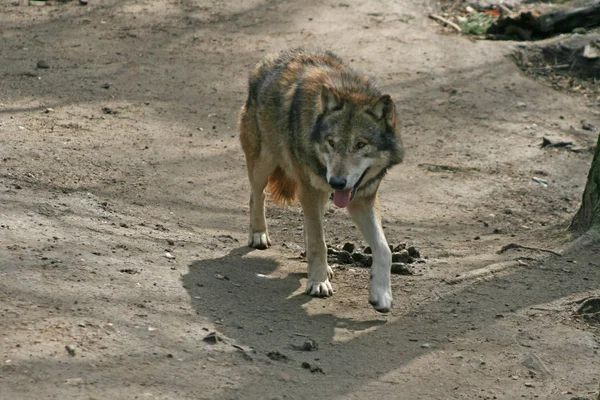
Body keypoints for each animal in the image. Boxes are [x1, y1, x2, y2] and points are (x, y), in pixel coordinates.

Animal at [238, 50, 404, 312]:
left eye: (360, 144)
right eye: (331, 142)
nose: (337, 182)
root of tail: (271, 57)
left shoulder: (361, 199)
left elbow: (383, 248)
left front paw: (382, 295)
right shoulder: (312, 190)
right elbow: (319, 243)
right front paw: (318, 282)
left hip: (320, 192)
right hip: (264, 165)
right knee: (257, 195)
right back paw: (258, 235)